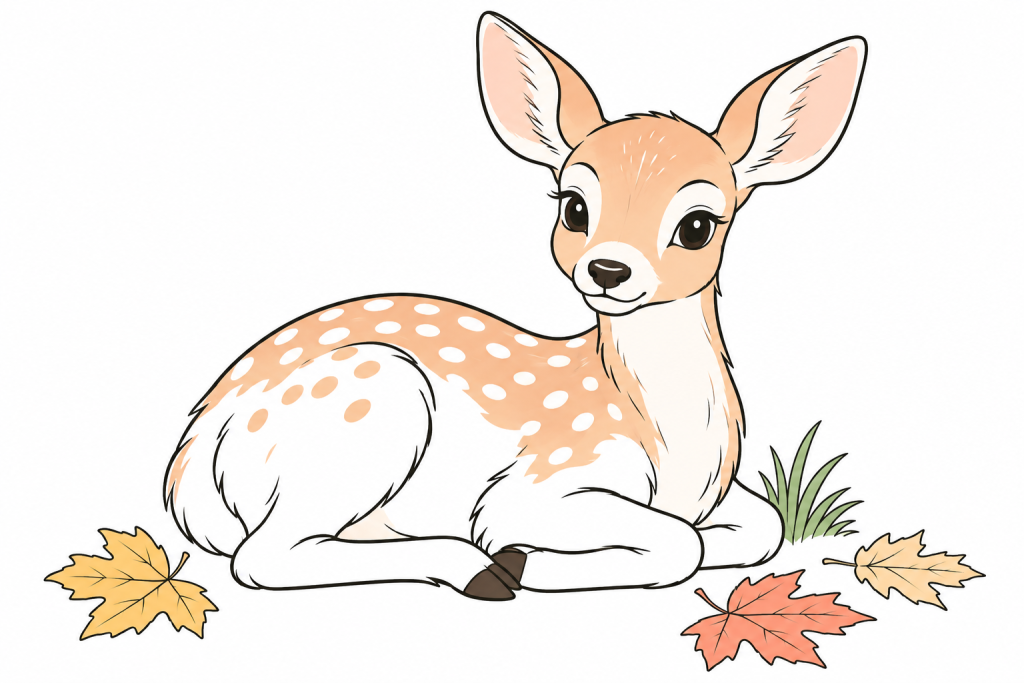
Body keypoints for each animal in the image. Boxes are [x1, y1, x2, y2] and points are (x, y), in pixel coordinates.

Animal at [163, 12, 866, 600]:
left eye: (698, 224)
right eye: (574, 207)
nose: (608, 270)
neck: (668, 442)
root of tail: (188, 464)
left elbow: (761, 527)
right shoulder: (534, 486)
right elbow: (677, 544)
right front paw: (525, 561)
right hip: (370, 405)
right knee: (262, 557)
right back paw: (475, 569)